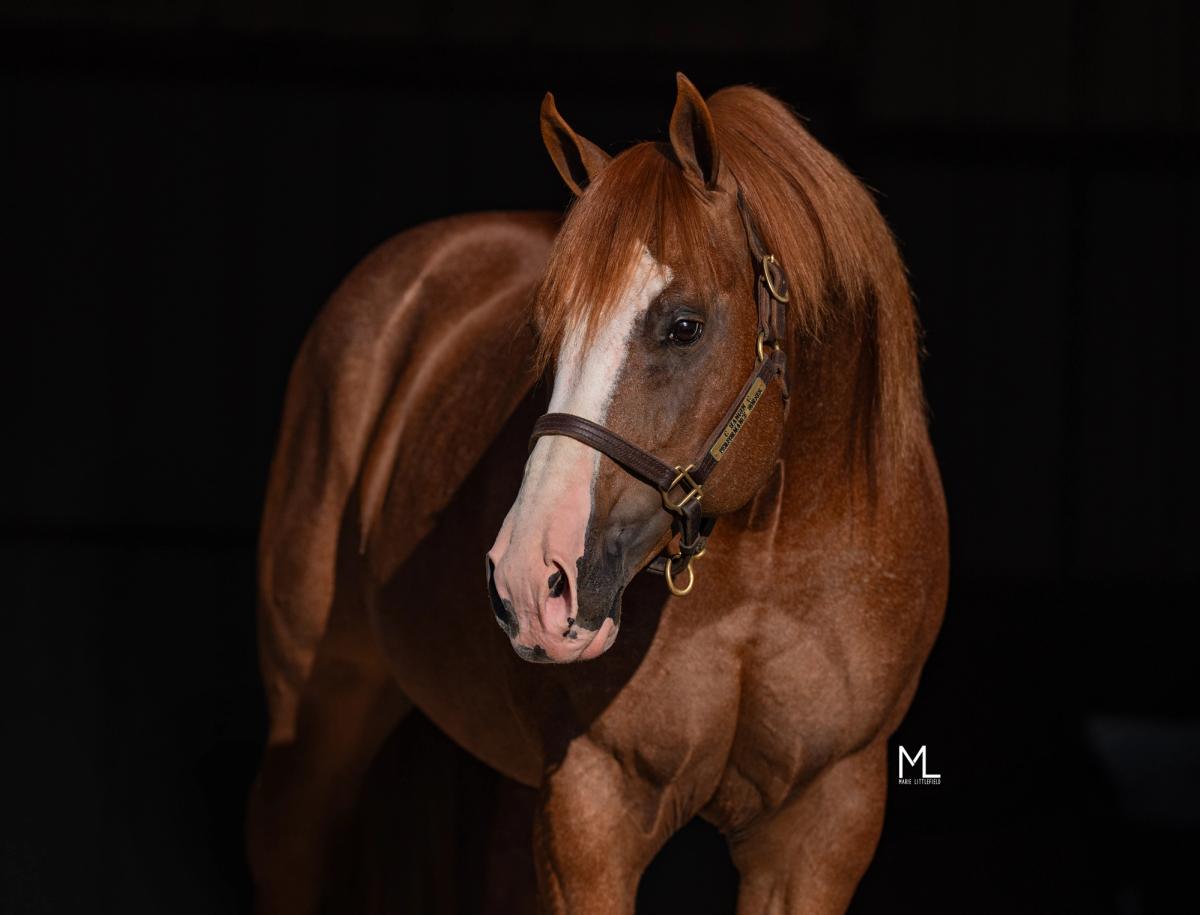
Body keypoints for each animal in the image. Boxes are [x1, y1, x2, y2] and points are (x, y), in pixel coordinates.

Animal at [247, 73, 949, 914]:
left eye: (684, 325)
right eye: (546, 331)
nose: (529, 579)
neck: (769, 559)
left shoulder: (823, 824)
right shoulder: (591, 808)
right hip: (315, 719)